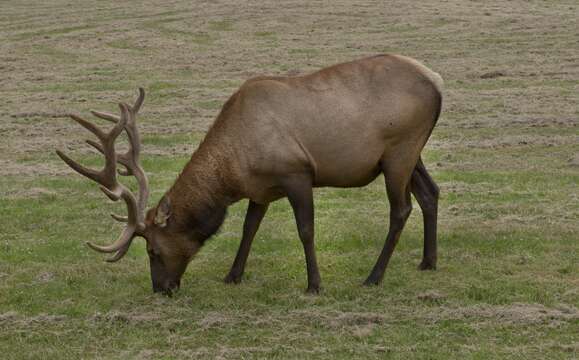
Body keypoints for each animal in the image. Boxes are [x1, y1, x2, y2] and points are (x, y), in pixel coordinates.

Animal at [56, 54, 444, 296]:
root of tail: (437, 81)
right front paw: (232, 275)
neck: (233, 172)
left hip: (399, 151)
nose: (161, 289)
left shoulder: (296, 173)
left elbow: (305, 230)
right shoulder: (260, 189)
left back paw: (373, 277)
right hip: (412, 154)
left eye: (152, 249)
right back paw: (428, 261)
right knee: (431, 192)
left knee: (401, 209)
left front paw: (314, 284)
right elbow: (248, 229)